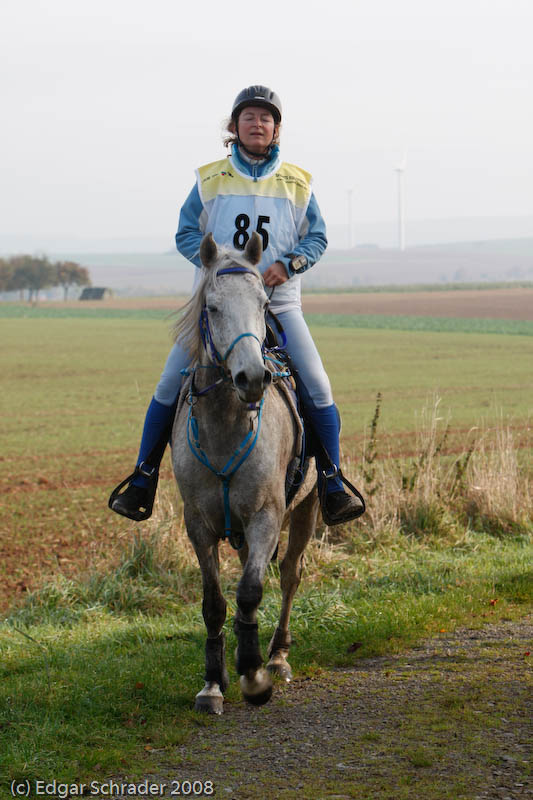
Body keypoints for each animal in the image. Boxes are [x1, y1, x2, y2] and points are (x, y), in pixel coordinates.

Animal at [172, 230, 318, 712]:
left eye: (262, 303)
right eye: (213, 307)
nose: (252, 378)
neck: (225, 426)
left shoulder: (266, 517)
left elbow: (251, 591)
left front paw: (254, 676)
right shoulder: (198, 524)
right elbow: (215, 602)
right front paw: (213, 683)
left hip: (307, 507)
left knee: (290, 574)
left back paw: (276, 657)